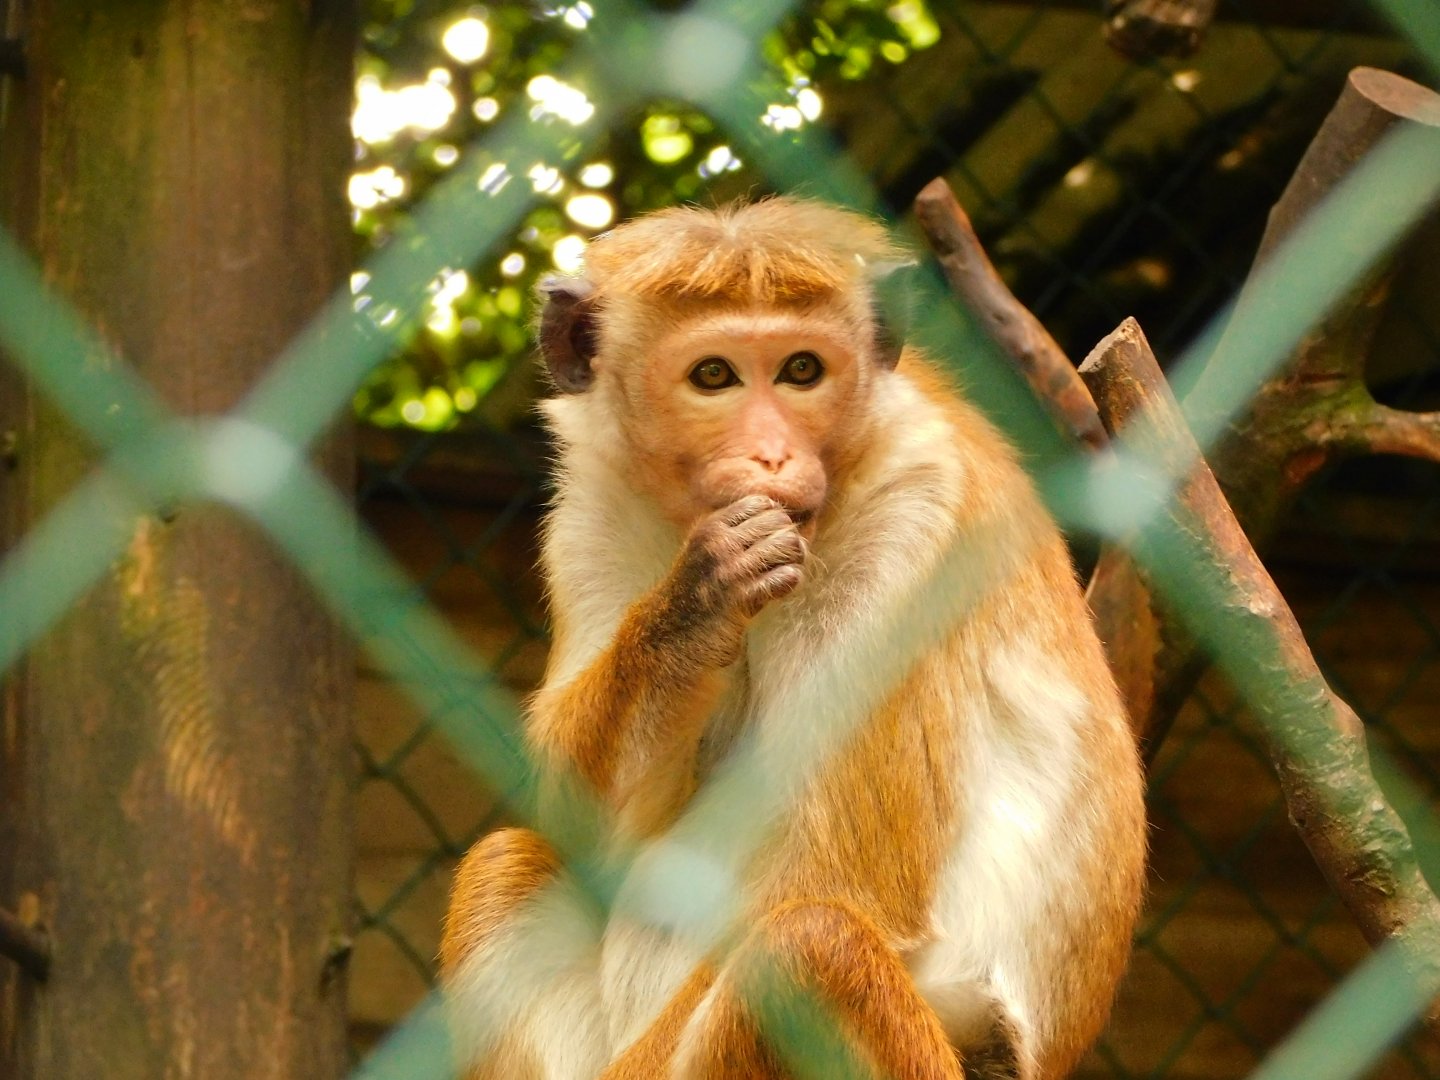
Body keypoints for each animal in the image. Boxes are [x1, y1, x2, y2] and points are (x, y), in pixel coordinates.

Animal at [440, 197, 1146, 1080]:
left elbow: (836, 882)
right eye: (714, 376)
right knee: (509, 864)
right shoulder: (590, 512)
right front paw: (692, 610)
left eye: (802, 371)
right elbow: (587, 833)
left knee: (809, 948)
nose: (773, 456)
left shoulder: (921, 515)